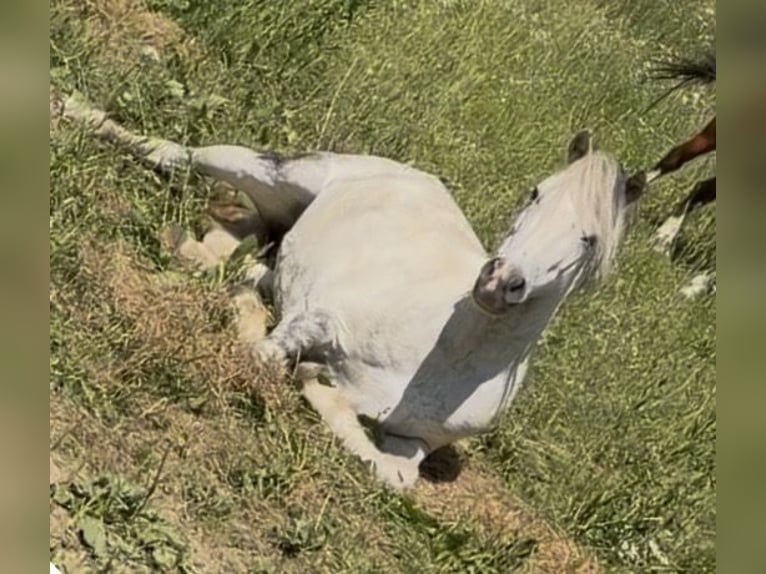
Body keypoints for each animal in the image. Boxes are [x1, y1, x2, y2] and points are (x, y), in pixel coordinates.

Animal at [54, 91, 646, 488]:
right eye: (535, 193)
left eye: (589, 240)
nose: (499, 282)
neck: (445, 353)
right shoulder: (318, 320)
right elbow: (265, 354)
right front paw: (294, 362)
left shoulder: (415, 443)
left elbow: (393, 474)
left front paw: (319, 384)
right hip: (271, 174)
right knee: (174, 153)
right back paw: (71, 113)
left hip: (277, 217)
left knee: (249, 248)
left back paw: (202, 253)